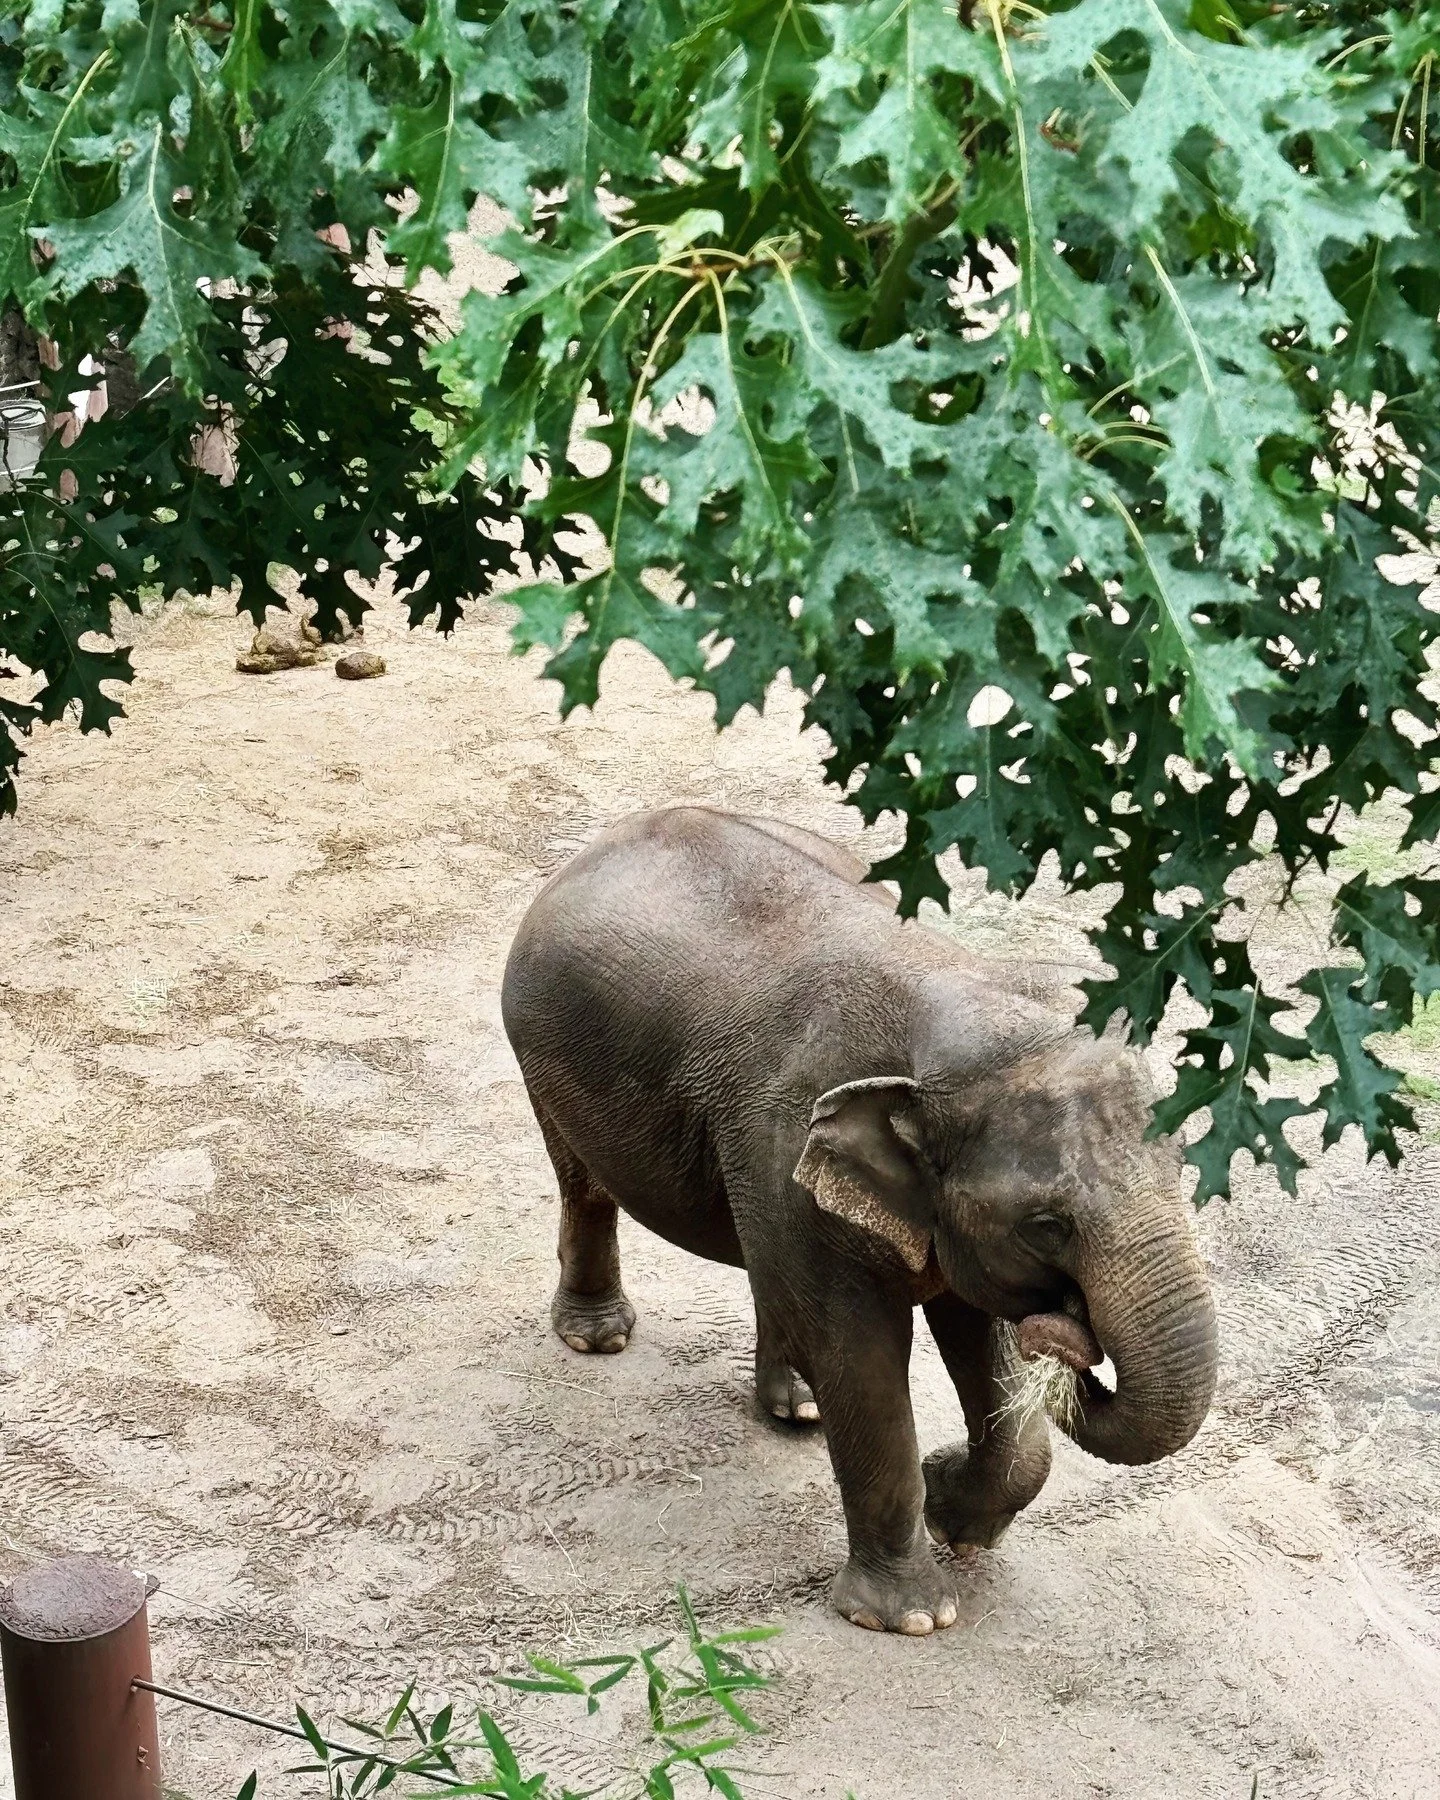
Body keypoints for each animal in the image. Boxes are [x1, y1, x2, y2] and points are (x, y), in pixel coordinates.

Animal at [501, 805, 1218, 1634]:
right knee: (583, 1184)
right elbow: (859, 1354)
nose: (1070, 1332)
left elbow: (980, 1340)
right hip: (542, 1053)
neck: (959, 993)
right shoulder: (789, 1137)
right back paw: (598, 1340)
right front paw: (911, 1617)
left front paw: (953, 1514)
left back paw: (796, 1407)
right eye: (1046, 1226)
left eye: (1184, 1169)